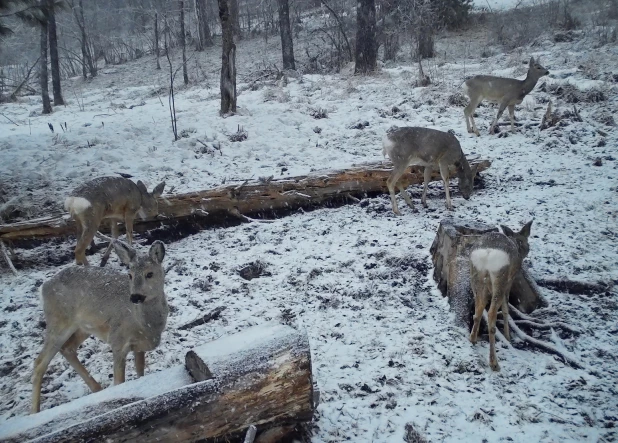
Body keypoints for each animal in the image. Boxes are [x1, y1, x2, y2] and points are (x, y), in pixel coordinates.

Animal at [30, 241, 167, 414]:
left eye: (149, 274)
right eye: (129, 275)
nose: (135, 297)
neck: (146, 325)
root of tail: (44, 286)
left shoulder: (140, 345)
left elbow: (140, 373)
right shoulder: (118, 340)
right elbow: (119, 381)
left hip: (83, 326)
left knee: (67, 348)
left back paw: (97, 389)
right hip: (58, 321)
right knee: (40, 362)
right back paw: (34, 412)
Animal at [466, 221, 528, 372]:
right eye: (525, 241)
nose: (526, 250)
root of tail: (487, 253)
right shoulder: (510, 281)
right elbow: (506, 309)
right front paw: (508, 336)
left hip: (475, 274)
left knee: (478, 310)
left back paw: (473, 338)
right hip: (501, 277)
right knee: (491, 314)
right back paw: (494, 362)